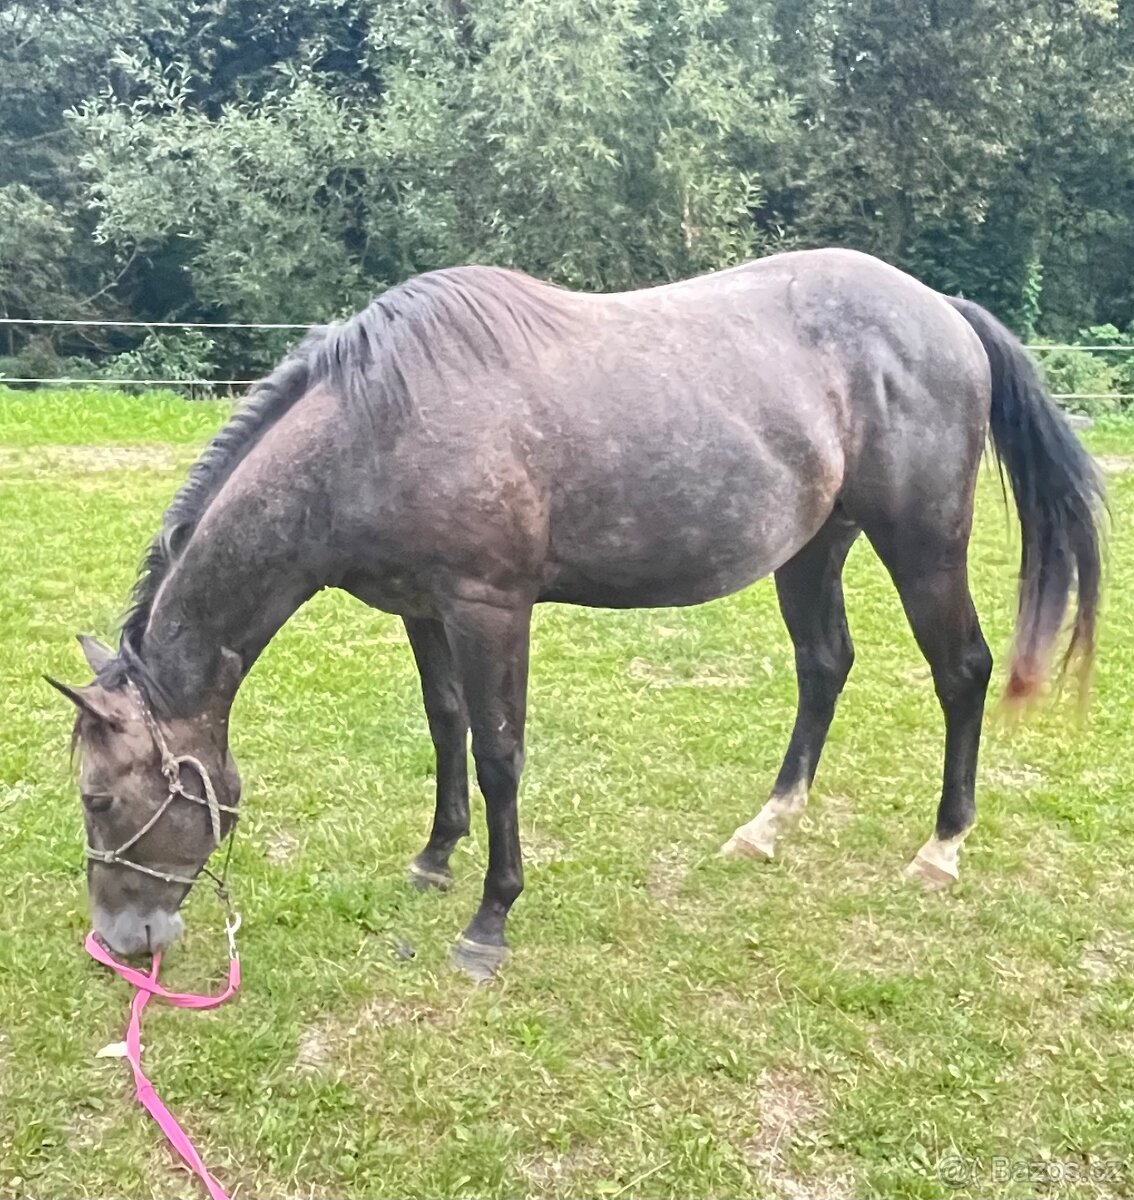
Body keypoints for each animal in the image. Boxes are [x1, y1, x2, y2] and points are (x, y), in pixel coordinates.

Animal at [49, 247, 1104, 980]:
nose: (123, 941)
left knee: (961, 671)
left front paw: (490, 921)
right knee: (824, 666)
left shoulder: (490, 608)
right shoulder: (423, 612)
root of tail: (942, 312)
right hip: (814, 548)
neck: (377, 425)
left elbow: (499, 752)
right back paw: (766, 826)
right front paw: (437, 855)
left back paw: (941, 849)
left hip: (922, 544)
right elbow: (445, 725)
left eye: (100, 799)